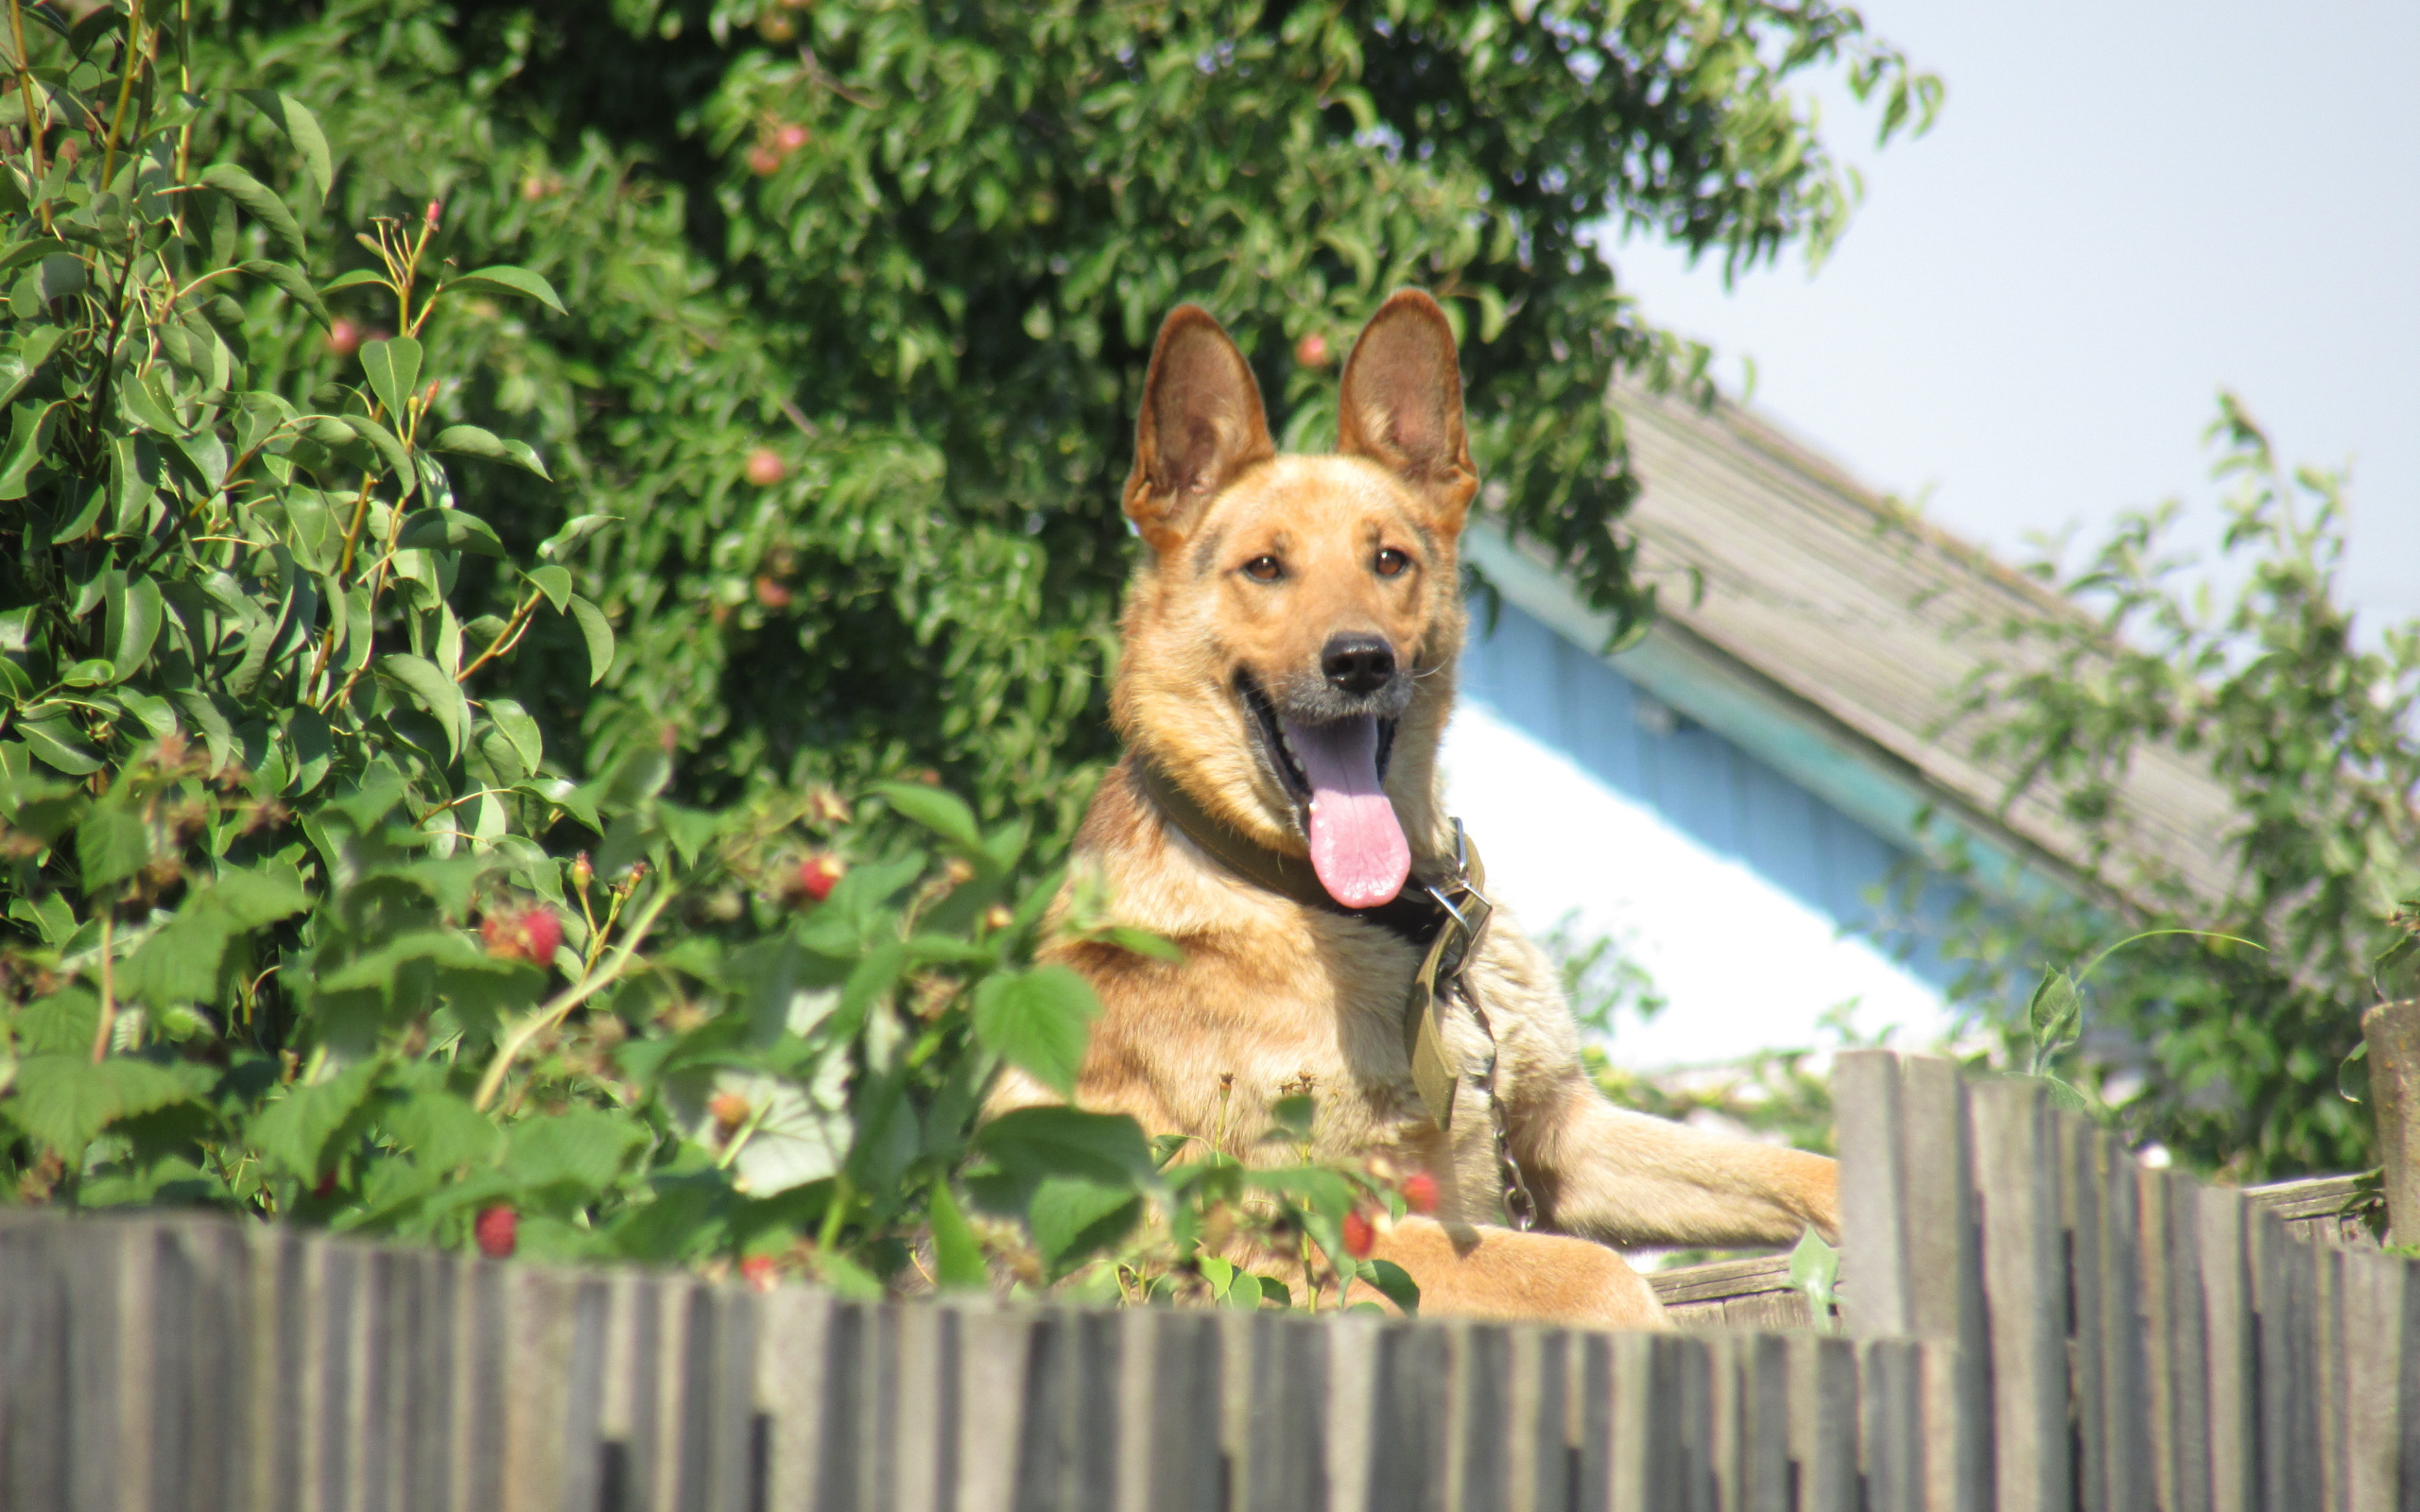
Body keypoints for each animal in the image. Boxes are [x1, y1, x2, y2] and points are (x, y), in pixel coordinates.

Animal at [982, 291, 1829, 1315]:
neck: (1392, 921)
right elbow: (1595, 1273)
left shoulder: (1560, 1140)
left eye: (1388, 561)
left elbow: (1801, 1170)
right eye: (1264, 568)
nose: (1359, 662)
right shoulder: (1304, 1234)